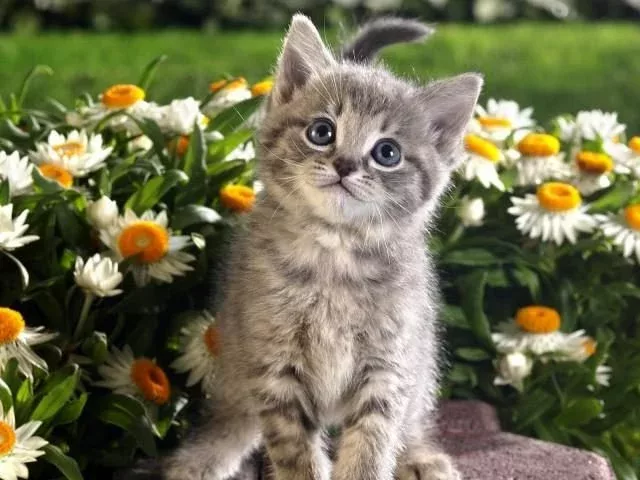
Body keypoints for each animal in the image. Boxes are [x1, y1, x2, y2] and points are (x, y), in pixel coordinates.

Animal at [131, 15, 480, 480]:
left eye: (387, 153)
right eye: (321, 132)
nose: (345, 165)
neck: (334, 256)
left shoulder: (387, 366)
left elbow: (372, 444)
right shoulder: (273, 365)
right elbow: (295, 451)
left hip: (418, 360)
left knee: (412, 417)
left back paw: (420, 457)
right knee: (234, 416)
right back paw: (202, 458)